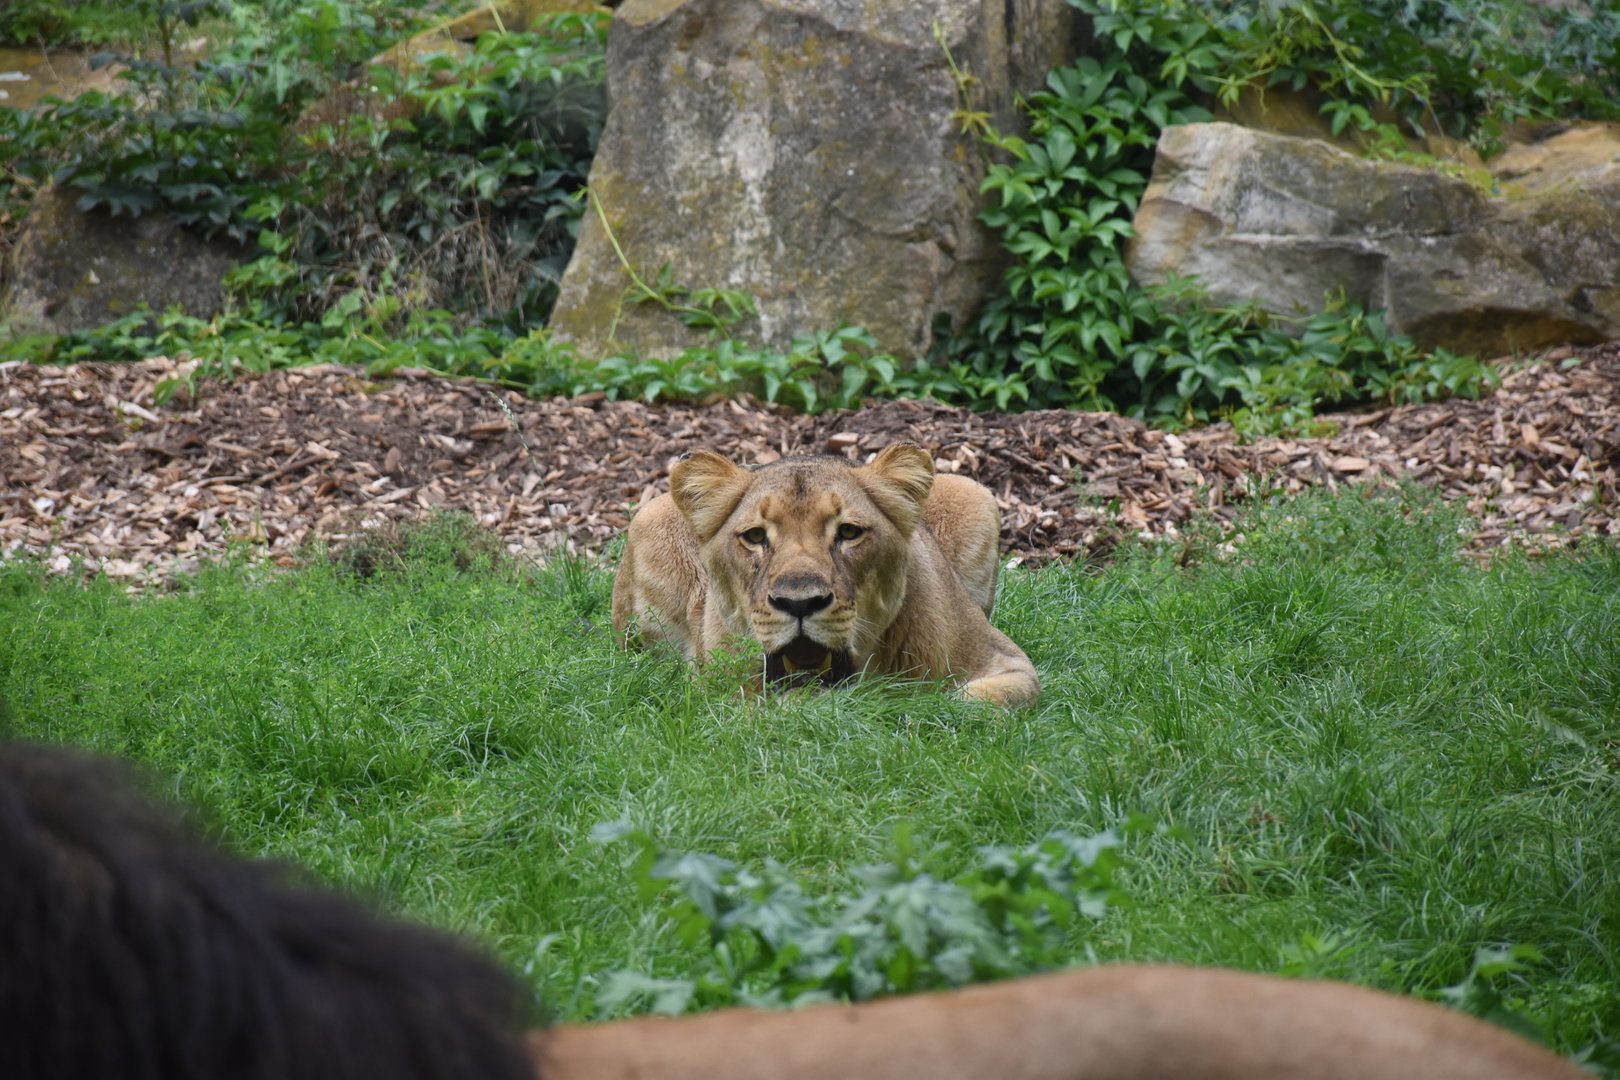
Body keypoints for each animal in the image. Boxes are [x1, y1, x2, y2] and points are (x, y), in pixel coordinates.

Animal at [610, 443, 1040, 706]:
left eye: (848, 532)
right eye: (755, 537)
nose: (799, 604)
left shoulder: (1008, 663)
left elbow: (968, 702)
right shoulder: (715, 693)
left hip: (971, 492)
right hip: (649, 520)